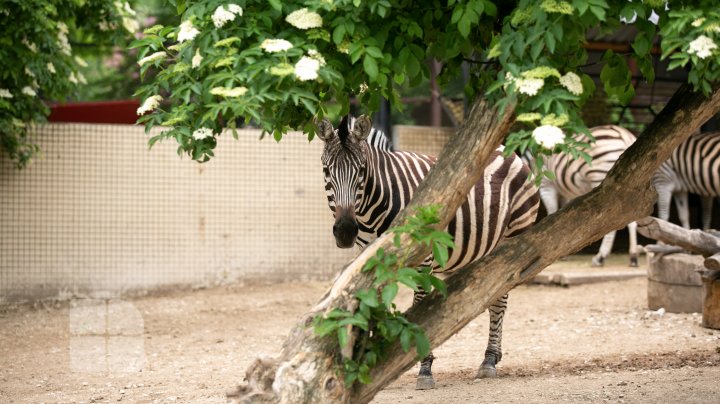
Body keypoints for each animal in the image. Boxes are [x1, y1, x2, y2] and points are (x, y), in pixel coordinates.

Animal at [316, 113, 540, 388]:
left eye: (361, 171)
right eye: (327, 170)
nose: (346, 231)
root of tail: (506, 149)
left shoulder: (424, 260)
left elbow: (420, 309)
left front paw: (424, 368)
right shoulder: (368, 259)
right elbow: (372, 305)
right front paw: (371, 362)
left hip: (513, 235)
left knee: (500, 300)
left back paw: (488, 361)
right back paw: (493, 356)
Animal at [536, 124, 640, 266]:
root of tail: (624, 135)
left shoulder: (546, 184)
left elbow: (552, 212)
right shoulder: (564, 191)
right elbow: (562, 214)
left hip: (600, 175)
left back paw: (600, 257)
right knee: (630, 220)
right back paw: (633, 257)